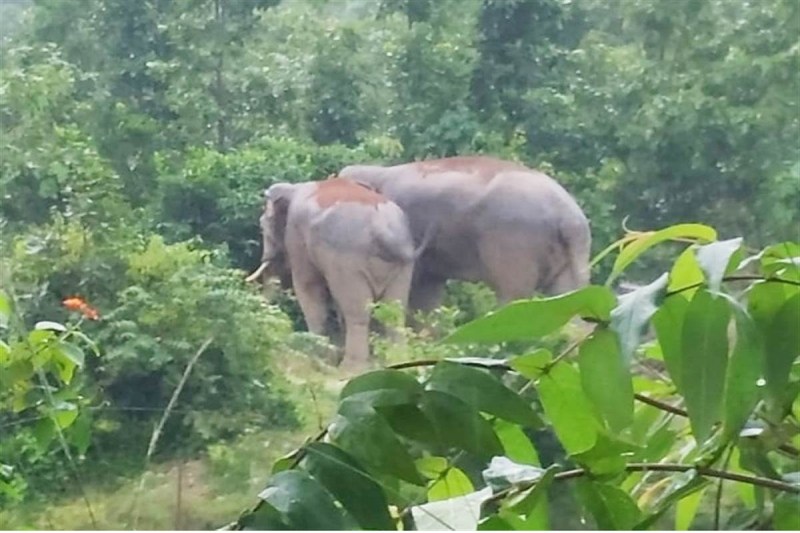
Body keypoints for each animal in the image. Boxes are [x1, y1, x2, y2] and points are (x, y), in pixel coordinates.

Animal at [248, 176, 429, 370]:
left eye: (262, 227)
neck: (294, 187)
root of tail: (383, 231)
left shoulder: (296, 235)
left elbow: (307, 286)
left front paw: (317, 356)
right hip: (402, 266)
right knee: (394, 311)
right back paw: (396, 361)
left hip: (349, 260)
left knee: (357, 313)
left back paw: (351, 368)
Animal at [338, 155, 591, 313]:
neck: (376, 171)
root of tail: (570, 218)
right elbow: (426, 294)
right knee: (568, 298)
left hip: (515, 241)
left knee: (512, 295)